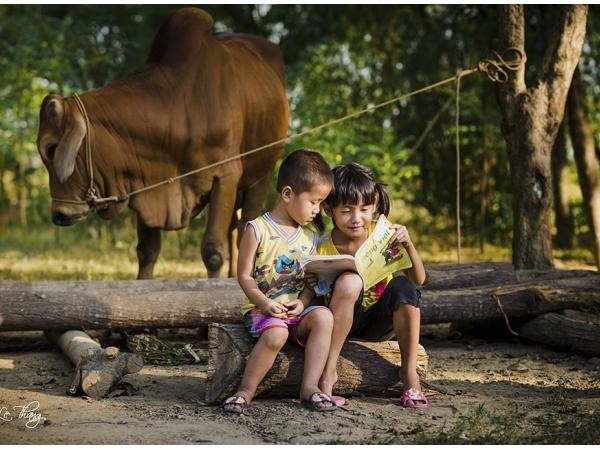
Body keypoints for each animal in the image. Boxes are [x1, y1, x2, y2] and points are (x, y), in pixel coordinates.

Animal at [34, 7, 288, 278]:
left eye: (51, 148)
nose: (59, 214)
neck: (179, 105)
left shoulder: (225, 176)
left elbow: (212, 252)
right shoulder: (144, 186)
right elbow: (147, 251)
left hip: (260, 175)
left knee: (244, 228)